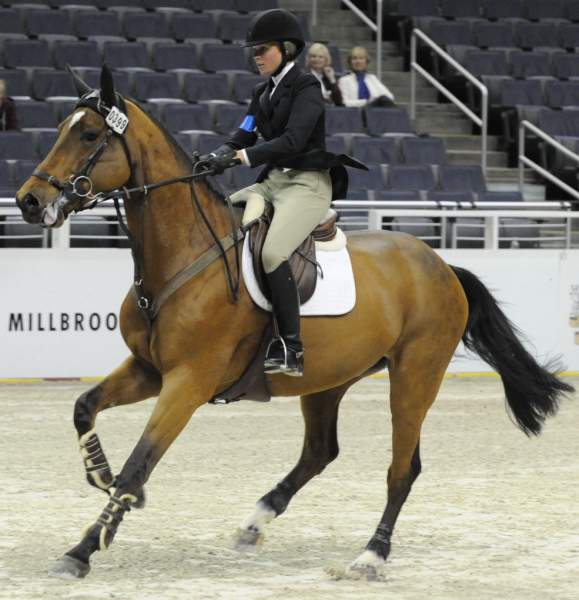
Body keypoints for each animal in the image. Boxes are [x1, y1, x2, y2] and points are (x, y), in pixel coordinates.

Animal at [15, 67, 572, 580]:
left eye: (90, 135)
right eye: (63, 128)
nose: (29, 201)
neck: (184, 255)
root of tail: (440, 264)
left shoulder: (188, 382)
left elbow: (140, 462)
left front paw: (85, 547)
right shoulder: (149, 369)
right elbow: (85, 408)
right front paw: (101, 477)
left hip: (415, 375)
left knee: (401, 468)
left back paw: (371, 555)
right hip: (330, 378)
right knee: (320, 452)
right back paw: (255, 521)